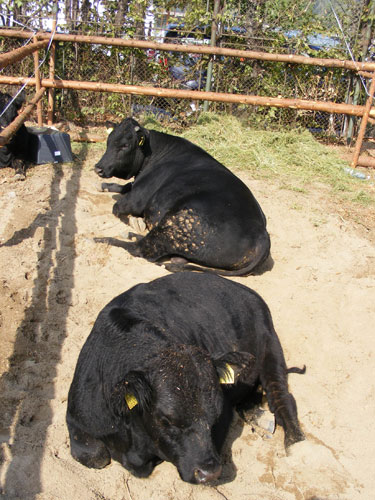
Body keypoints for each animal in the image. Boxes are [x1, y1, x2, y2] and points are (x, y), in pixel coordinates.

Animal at [94, 118, 270, 278]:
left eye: (125, 145)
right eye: (108, 142)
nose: (98, 168)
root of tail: (262, 234)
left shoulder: (136, 199)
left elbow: (117, 207)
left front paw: (133, 221)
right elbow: (124, 186)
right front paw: (103, 186)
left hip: (177, 220)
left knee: (140, 249)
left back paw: (102, 239)